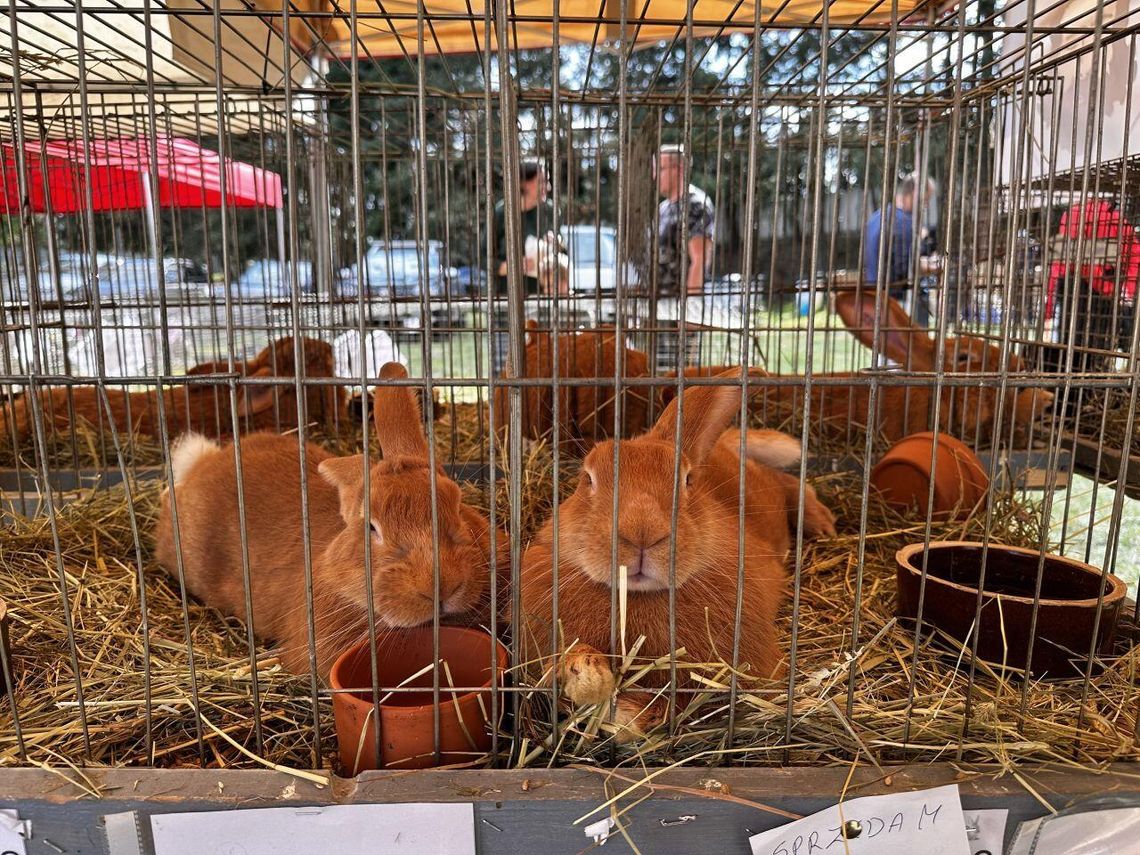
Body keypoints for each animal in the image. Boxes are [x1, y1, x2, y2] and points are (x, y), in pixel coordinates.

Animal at [519, 371, 839, 738]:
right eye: (587, 478)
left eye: (687, 480)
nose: (642, 532)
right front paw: (587, 674)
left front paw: (622, 711)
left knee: (787, 480)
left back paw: (821, 520)